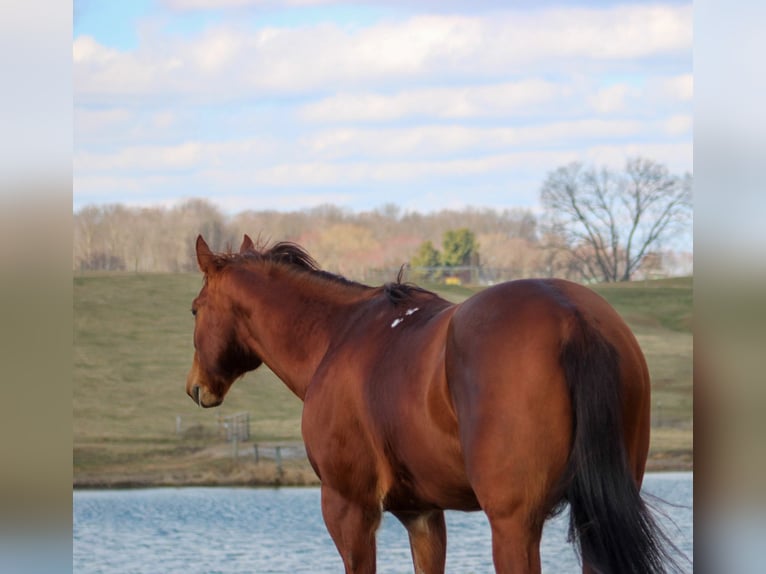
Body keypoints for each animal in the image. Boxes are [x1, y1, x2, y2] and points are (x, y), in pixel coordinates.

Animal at [186, 234, 679, 574]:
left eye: (194, 309)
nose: (195, 387)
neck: (338, 336)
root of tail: (571, 315)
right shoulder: (422, 515)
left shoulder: (349, 510)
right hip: (593, 521)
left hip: (514, 524)